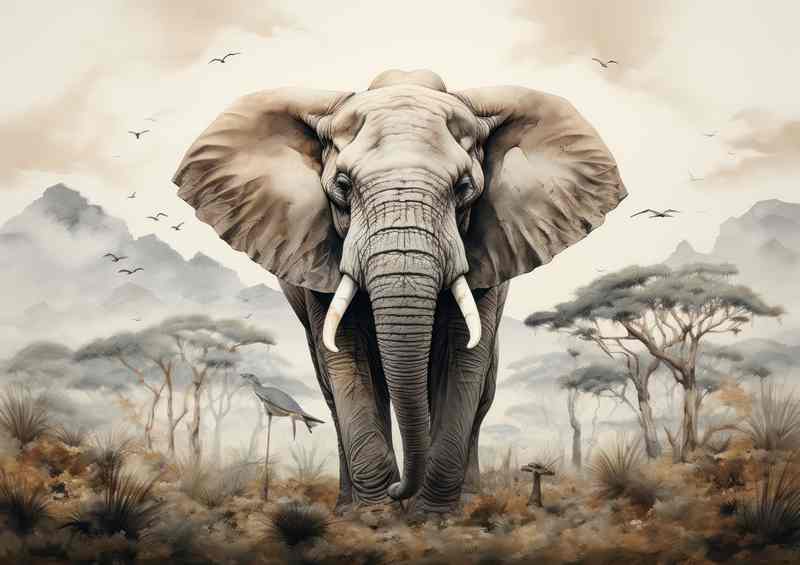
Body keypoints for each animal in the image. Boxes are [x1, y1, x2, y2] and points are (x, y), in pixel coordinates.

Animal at [172, 68, 627, 514]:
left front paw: (433, 515)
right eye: (342, 185)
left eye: (464, 188)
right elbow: (347, 357)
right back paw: (346, 505)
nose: (397, 491)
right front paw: (377, 514)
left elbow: (462, 360)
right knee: (331, 394)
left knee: (481, 394)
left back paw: (467, 498)